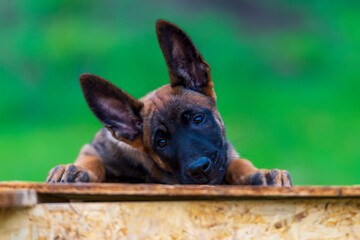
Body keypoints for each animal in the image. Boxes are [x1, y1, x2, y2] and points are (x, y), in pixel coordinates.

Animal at [45, 20, 292, 186]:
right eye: (161, 142)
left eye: (198, 119)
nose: (199, 169)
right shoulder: (96, 149)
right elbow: (91, 160)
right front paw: (74, 169)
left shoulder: (227, 155)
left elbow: (238, 163)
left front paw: (260, 173)